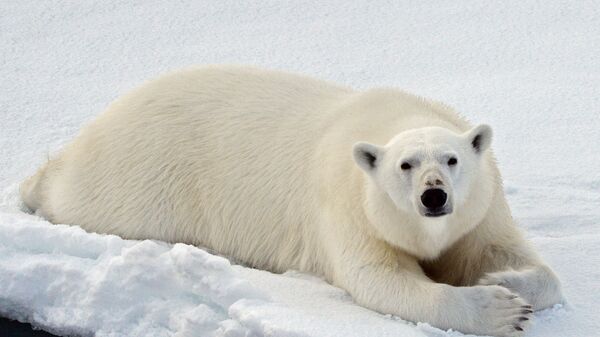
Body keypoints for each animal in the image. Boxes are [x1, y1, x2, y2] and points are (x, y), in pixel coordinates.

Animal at [19, 64, 564, 334]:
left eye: (451, 160)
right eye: (405, 165)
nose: (433, 197)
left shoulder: (481, 210)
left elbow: (515, 257)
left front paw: (502, 278)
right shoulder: (347, 207)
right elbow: (379, 280)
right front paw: (500, 309)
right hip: (143, 181)